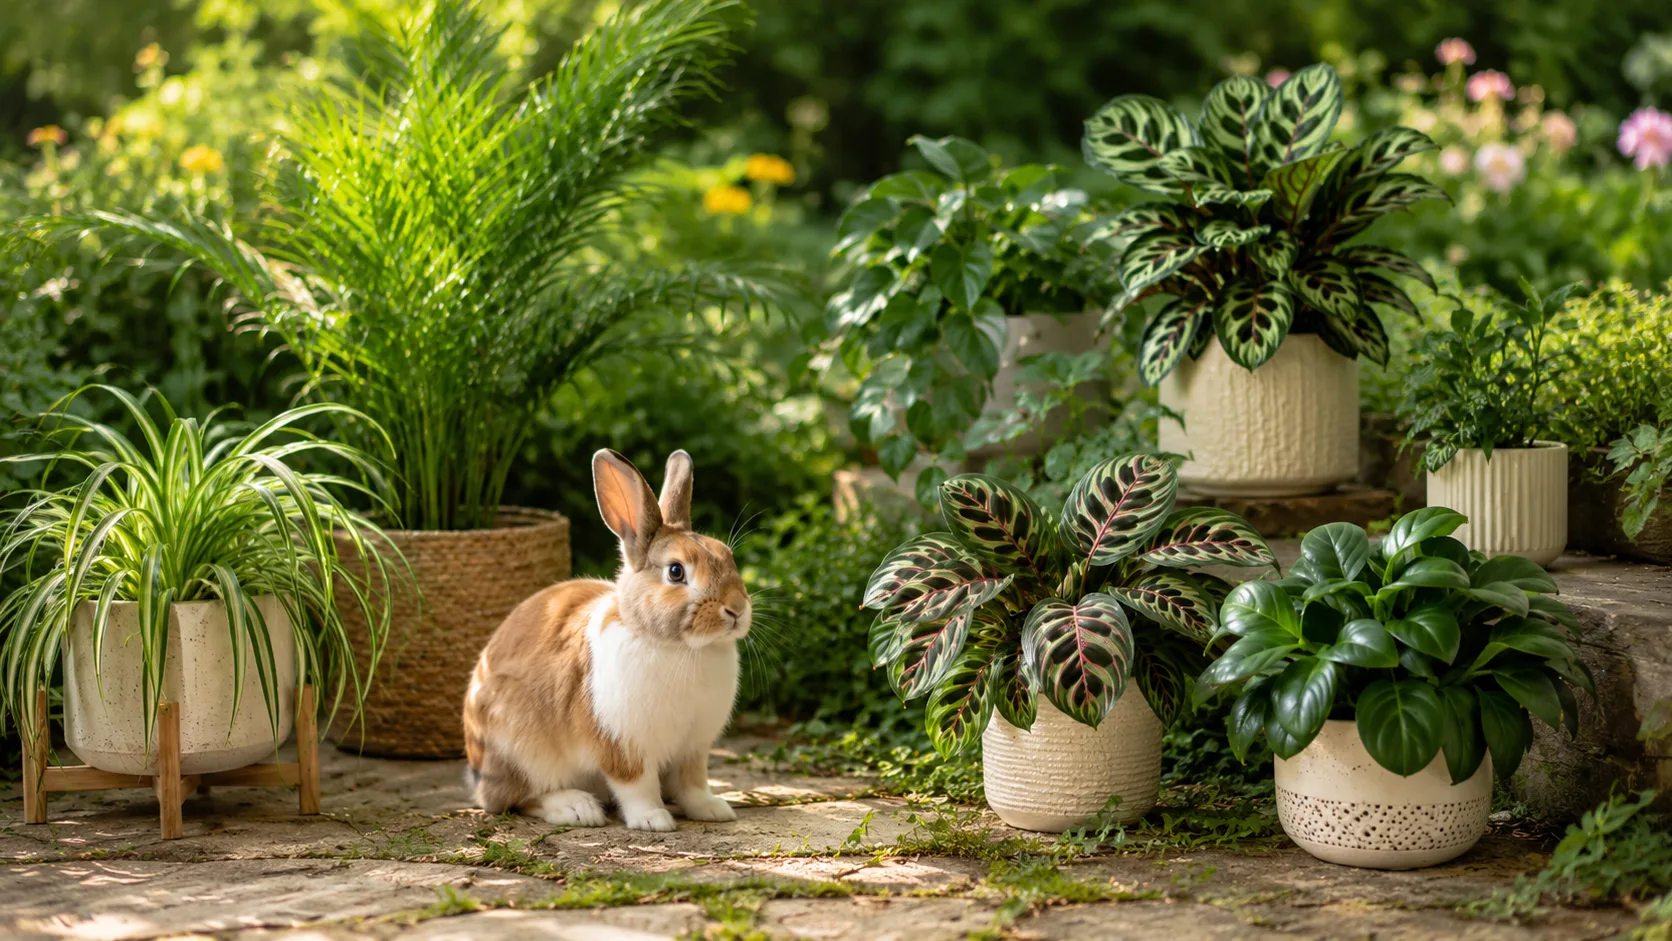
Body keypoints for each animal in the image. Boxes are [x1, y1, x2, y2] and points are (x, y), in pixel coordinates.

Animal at [461, 448, 751, 831]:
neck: (676, 646)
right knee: (514, 798)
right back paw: (576, 808)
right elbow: (636, 785)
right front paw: (653, 820)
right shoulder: (622, 746)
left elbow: (693, 784)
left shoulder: (693, 749)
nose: (736, 609)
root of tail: (477, 771)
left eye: (727, 556)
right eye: (676, 572)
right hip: (520, 751)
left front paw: (713, 810)